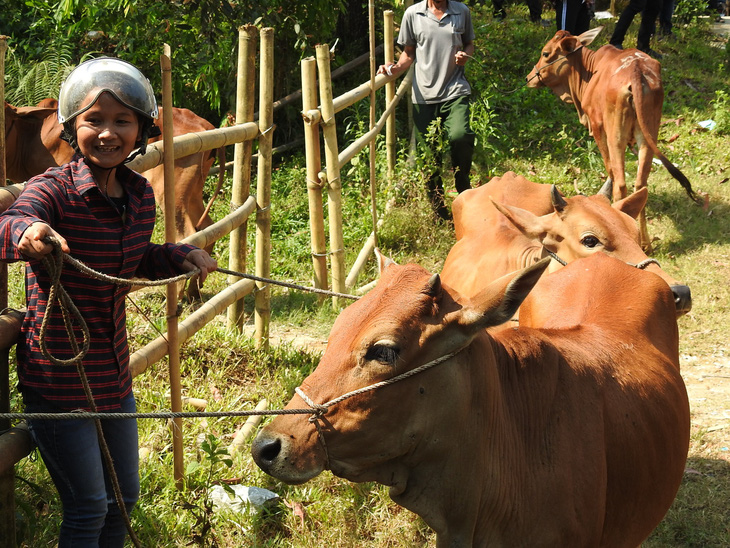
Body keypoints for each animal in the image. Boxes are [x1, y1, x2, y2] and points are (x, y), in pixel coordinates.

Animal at [524, 27, 700, 253]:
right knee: (640, 184)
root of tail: (636, 71)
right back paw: (645, 243)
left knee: (621, 183)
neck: (589, 72)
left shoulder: (598, 127)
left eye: (546, 53)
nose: (529, 77)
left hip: (615, 134)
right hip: (648, 134)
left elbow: (610, 173)